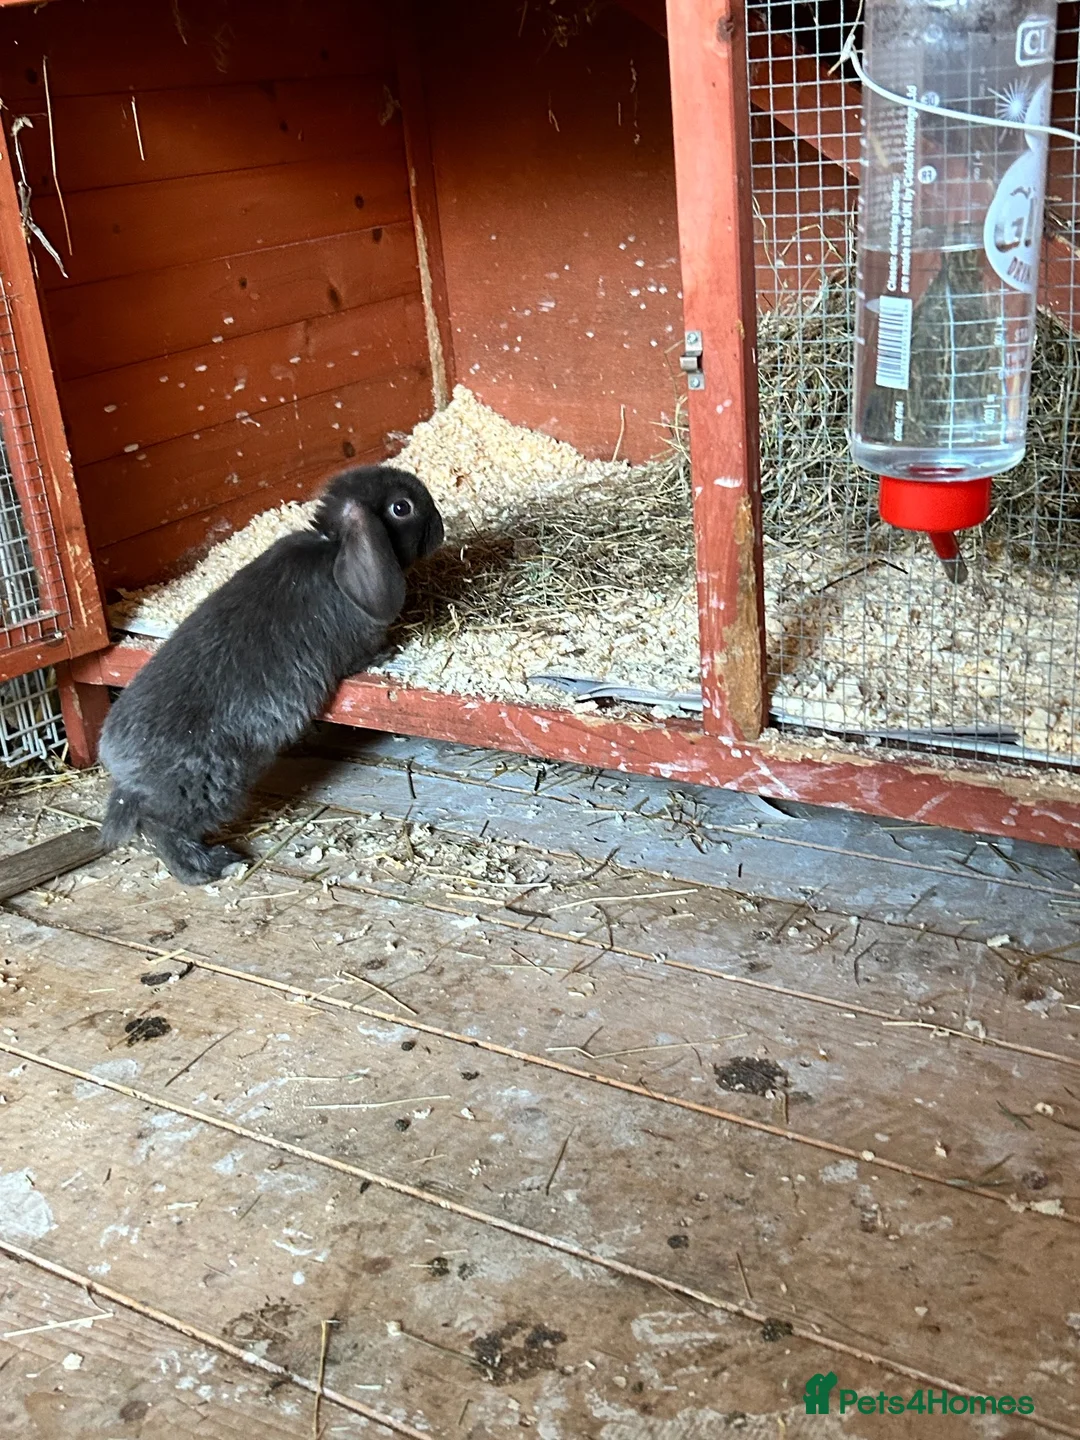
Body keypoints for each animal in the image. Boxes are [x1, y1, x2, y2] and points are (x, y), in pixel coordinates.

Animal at [99, 464, 444, 886]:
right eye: (401, 507)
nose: (441, 526)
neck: (331, 548)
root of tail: (122, 768)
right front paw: (389, 652)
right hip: (208, 788)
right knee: (161, 828)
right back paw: (213, 866)